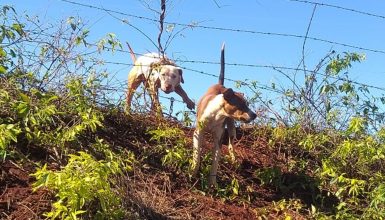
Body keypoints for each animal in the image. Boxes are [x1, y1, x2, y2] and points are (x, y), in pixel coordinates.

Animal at [191, 44, 255, 186]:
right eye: (242, 105)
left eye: (247, 104)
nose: (255, 115)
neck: (216, 115)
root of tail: (221, 85)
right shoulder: (198, 133)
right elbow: (197, 155)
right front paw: (192, 172)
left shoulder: (218, 140)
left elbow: (215, 162)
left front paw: (212, 183)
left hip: (231, 128)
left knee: (231, 144)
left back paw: (234, 159)